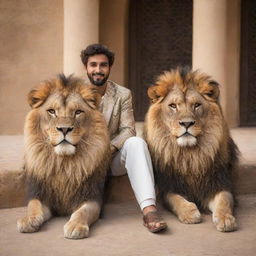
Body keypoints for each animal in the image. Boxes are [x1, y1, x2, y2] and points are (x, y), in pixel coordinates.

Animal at [16, 74, 110, 238]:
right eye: (52, 111)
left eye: (78, 112)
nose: (64, 129)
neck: (63, 165)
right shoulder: (41, 194)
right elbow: (33, 205)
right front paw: (28, 220)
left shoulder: (92, 196)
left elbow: (83, 212)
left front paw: (75, 226)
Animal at [145, 67, 239, 232]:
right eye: (173, 106)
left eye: (196, 105)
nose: (187, 123)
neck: (190, 156)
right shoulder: (167, 186)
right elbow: (175, 199)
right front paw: (189, 213)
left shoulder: (219, 182)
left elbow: (224, 200)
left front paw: (225, 219)